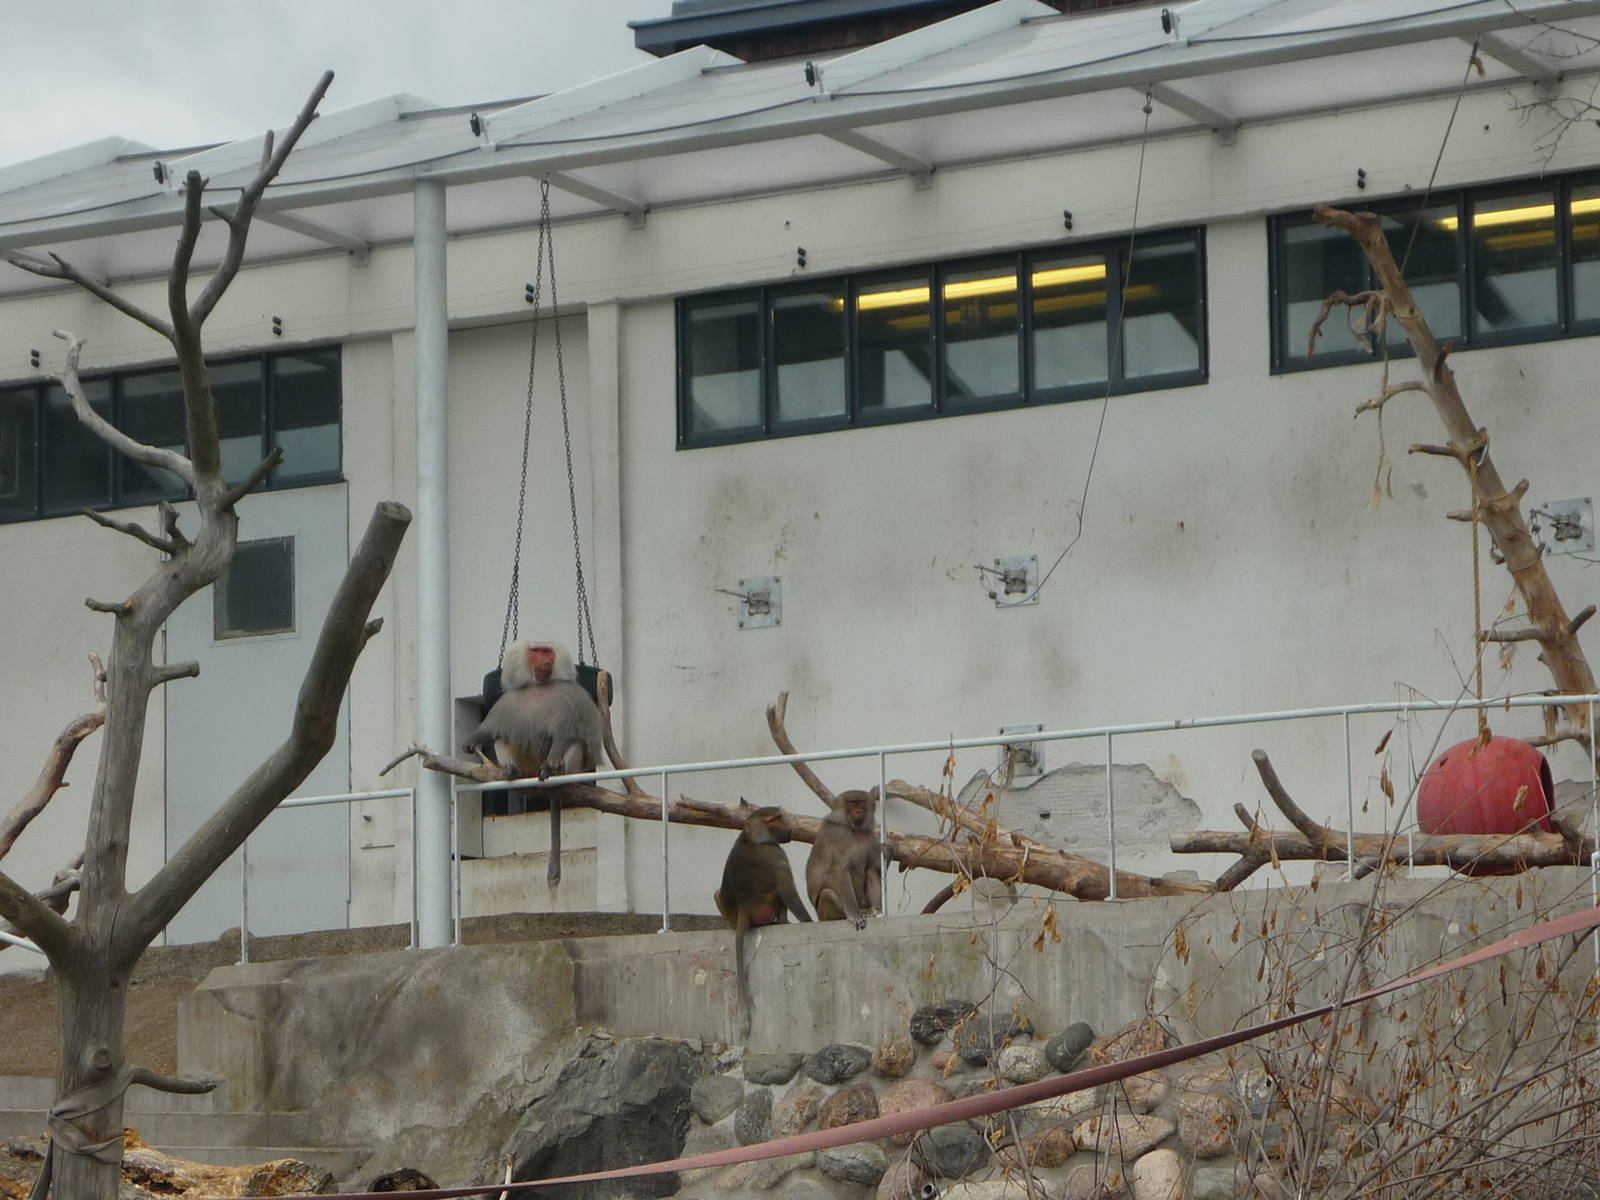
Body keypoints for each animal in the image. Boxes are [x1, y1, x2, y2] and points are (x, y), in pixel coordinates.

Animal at [465, 639, 602, 887]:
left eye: (548, 651)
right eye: (536, 651)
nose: (546, 661)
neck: (539, 686)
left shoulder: (568, 698)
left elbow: (564, 734)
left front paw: (553, 763)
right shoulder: (509, 701)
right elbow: (494, 730)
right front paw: (473, 742)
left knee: (574, 742)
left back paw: (559, 773)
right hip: (528, 765)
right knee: (504, 737)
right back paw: (511, 770)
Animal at [715, 805, 812, 1033]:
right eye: (776, 819)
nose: (789, 826)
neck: (752, 838)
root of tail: (745, 909)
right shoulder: (775, 853)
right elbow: (787, 890)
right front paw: (808, 921)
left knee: (717, 894)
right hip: (766, 908)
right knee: (779, 894)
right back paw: (783, 921)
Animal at [806, 788, 883, 930]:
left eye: (861, 803)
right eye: (852, 804)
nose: (858, 812)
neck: (854, 829)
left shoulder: (869, 836)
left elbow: (874, 867)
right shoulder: (838, 834)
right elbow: (841, 870)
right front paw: (854, 916)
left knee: (871, 871)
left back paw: (875, 911)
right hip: (824, 913)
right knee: (827, 893)